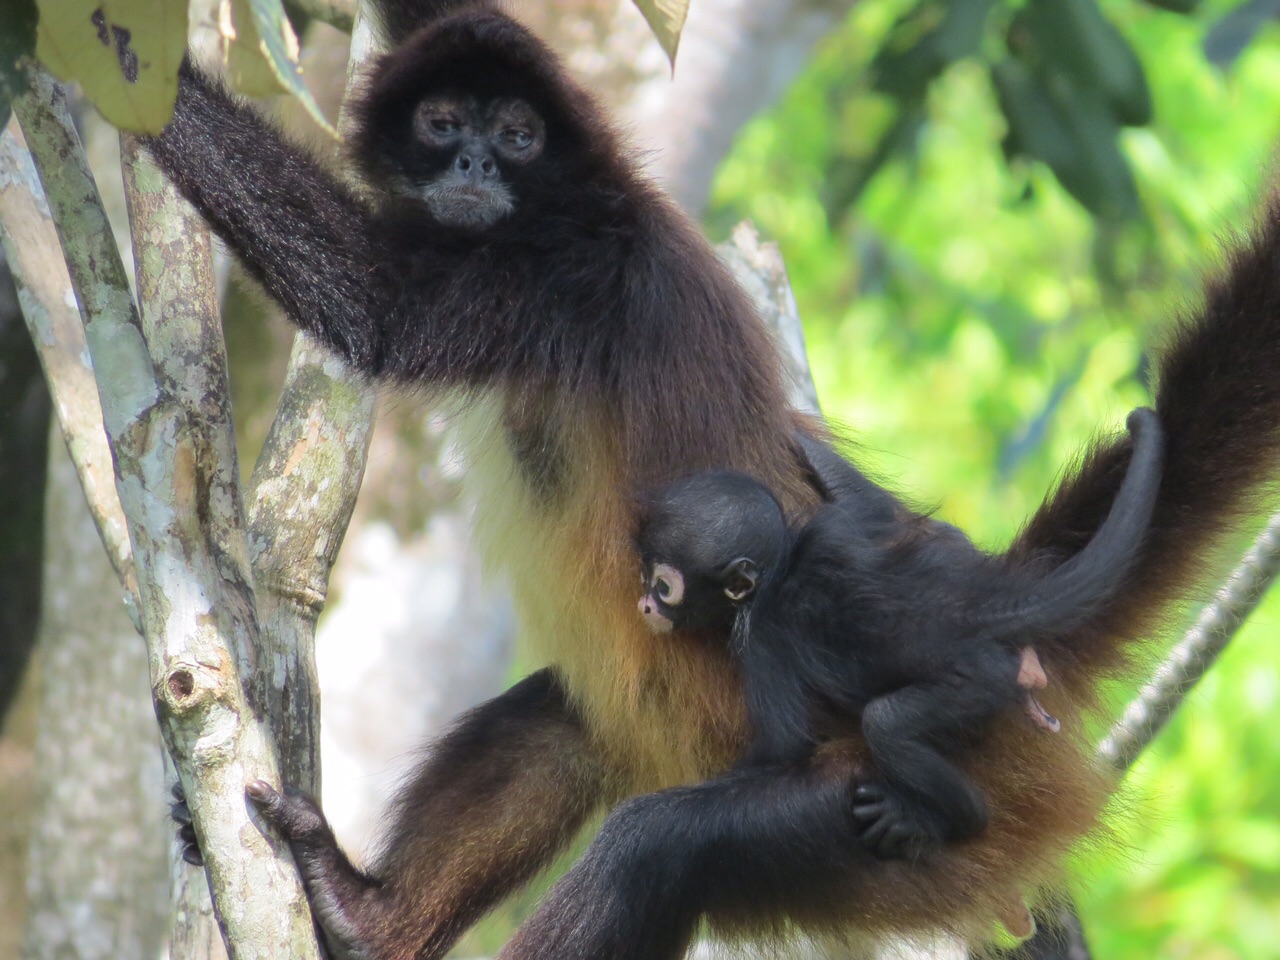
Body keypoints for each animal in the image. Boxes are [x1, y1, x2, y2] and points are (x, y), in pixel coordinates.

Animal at [633, 408, 1162, 858]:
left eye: (663, 586)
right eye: (647, 577)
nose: (645, 605)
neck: (784, 566)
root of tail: (969, 610)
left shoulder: (760, 636)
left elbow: (783, 746)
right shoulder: (837, 529)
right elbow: (874, 509)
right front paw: (798, 436)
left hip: (976, 682)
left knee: (886, 722)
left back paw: (957, 818)